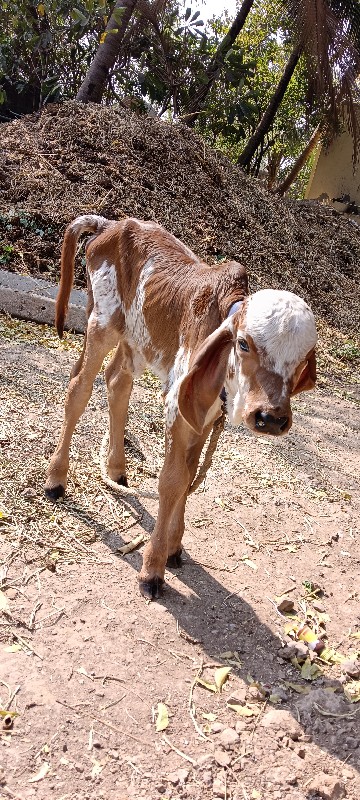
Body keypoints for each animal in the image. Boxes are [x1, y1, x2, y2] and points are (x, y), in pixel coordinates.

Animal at [45, 216, 318, 596]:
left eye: (303, 360)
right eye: (244, 344)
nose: (271, 417)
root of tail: (110, 224)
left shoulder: (204, 415)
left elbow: (190, 473)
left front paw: (174, 547)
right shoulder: (178, 405)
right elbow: (172, 481)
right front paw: (152, 569)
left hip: (137, 339)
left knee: (117, 382)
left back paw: (116, 468)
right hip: (102, 323)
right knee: (78, 390)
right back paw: (56, 479)